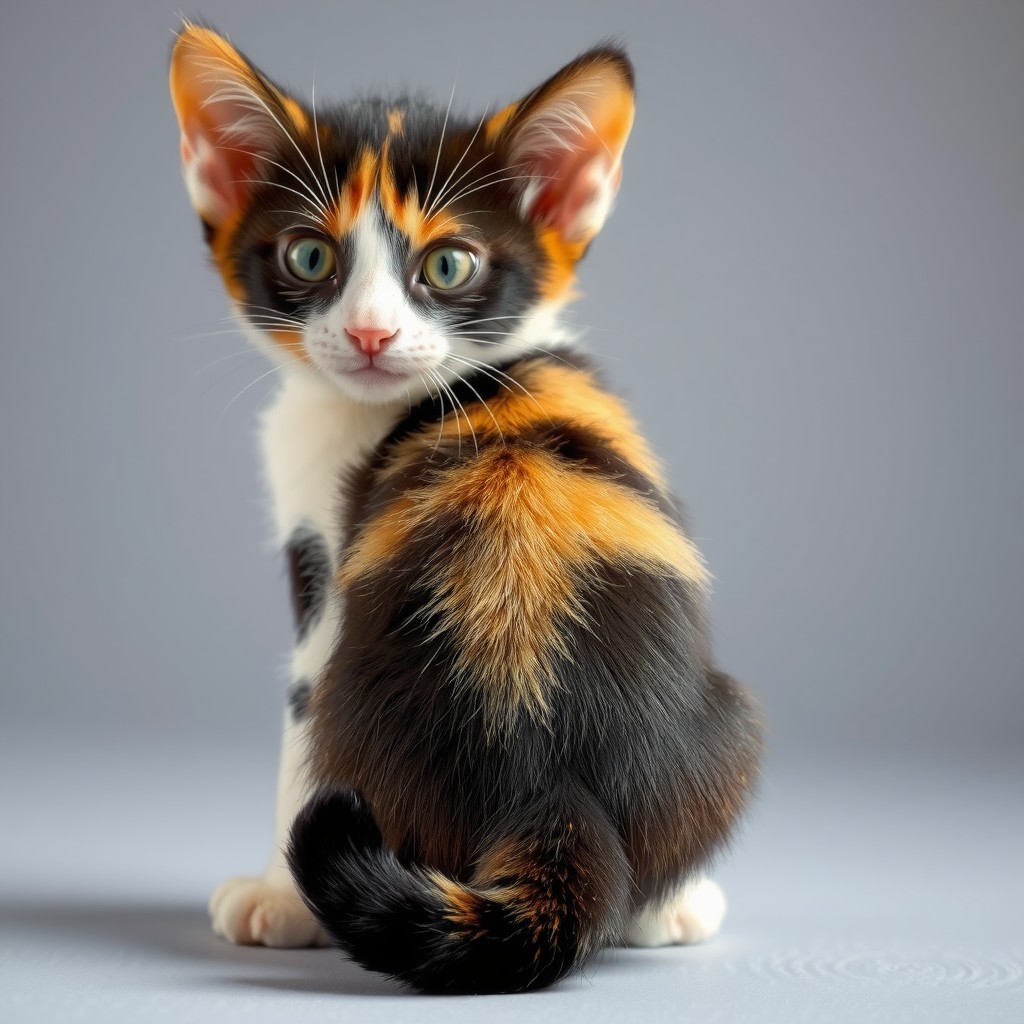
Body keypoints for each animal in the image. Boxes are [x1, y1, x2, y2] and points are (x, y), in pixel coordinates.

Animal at [167, 22, 761, 991]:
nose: (370, 333)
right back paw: (666, 905)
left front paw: (278, 900)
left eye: (447, 264)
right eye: (309, 255)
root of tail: (549, 785)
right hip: (732, 720)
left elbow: (298, 725)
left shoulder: (322, 566)